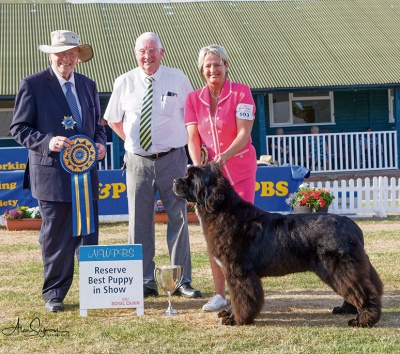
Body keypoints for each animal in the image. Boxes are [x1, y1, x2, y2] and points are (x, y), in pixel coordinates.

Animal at [173, 162, 384, 326]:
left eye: (191, 178)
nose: (175, 181)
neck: (222, 211)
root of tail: (352, 227)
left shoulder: (239, 271)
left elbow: (241, 297)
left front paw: (236, 320)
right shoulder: (233, 272)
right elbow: (235, 297)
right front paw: (230, 314)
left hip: (340, 267)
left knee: (363, 290)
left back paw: (364, 319)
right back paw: (346, 309)